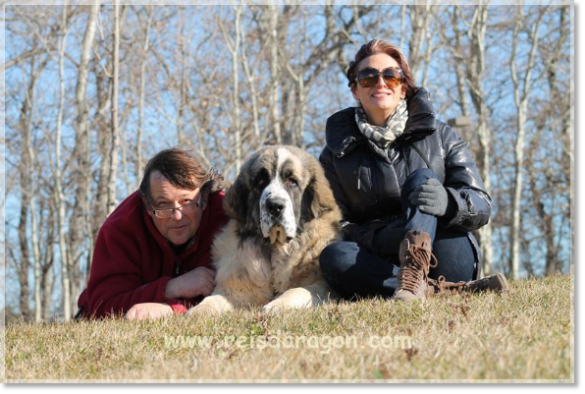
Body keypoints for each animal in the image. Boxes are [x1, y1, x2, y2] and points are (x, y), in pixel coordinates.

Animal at [187, 145, 342, 314]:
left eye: (292, 181)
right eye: (261, 181)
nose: (274, 206)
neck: (274, 249)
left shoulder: (322, 284)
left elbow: (298, 290)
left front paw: (275, 305)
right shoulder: (239, 285)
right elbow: (215, 298)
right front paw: (198, 311)